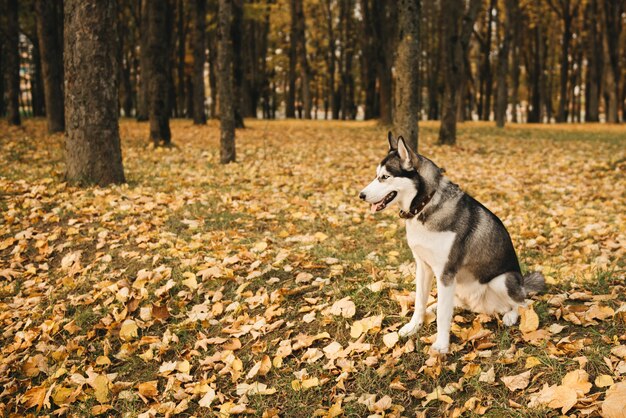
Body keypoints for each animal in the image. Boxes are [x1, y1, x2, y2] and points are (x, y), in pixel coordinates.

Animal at [358, 133, 544, 352]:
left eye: (385, 177)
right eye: (376, 175)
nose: (361, 195)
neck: (425, 205)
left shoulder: (445, 273)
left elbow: (443, 316)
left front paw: (441, 346)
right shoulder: (423, 266)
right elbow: (420, 302)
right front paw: (413, 326)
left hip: (502, 281)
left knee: (524, 303)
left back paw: (511, 315)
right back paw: (434, 307)